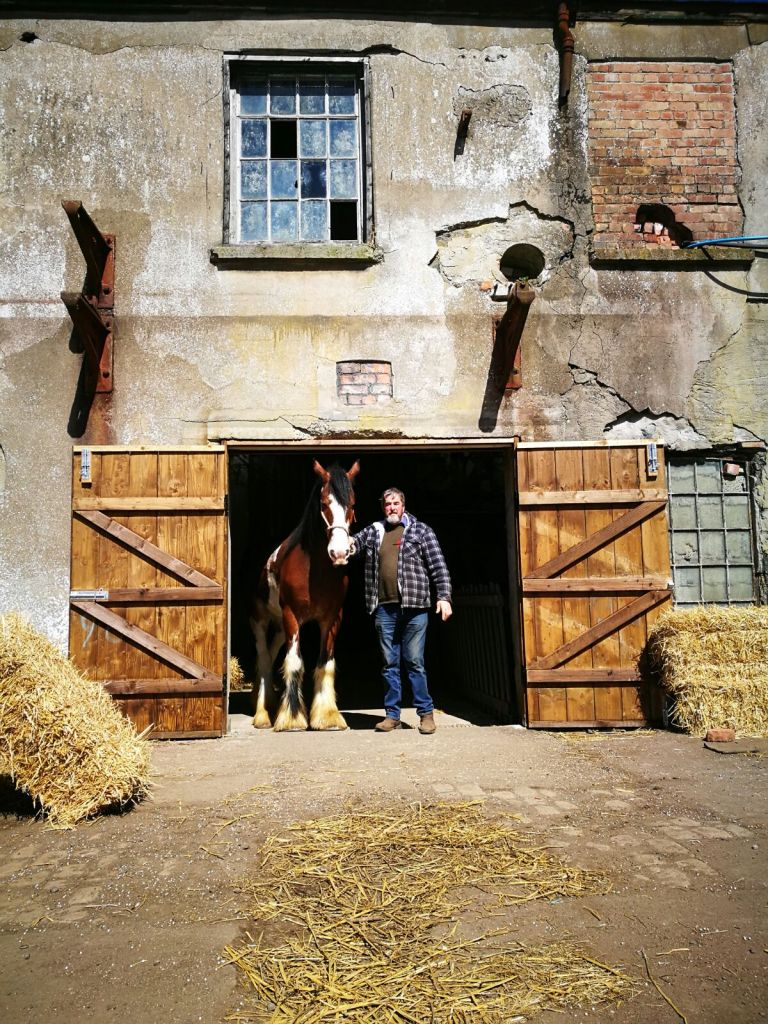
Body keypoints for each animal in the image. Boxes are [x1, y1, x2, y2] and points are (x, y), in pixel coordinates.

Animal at [249, 459, 360, 731]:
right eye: (324, 504)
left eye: (352, 505)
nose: (339, 553)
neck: (315, 570)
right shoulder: (292, 616)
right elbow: (295, 663)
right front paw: (292, 718)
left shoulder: (332, 619)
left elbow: (325, 664)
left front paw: (327, 716)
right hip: (260, 621)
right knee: (264, 658)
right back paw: (263, 714)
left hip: (280, 628)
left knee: (272, 652)